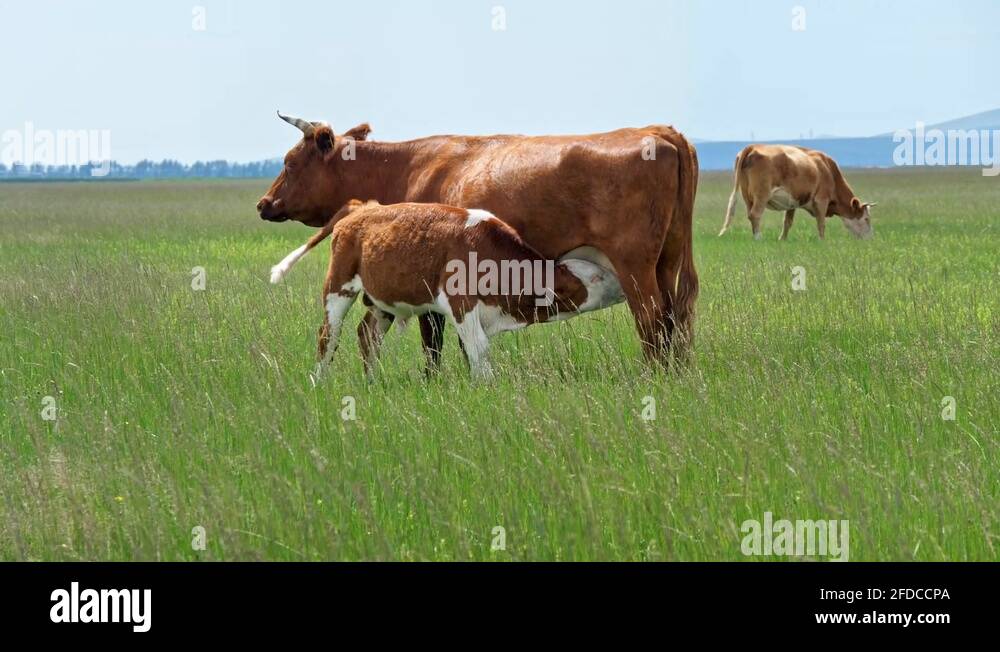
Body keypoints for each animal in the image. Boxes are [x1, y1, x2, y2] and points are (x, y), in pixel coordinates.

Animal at [297, 200, 624, 380]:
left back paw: (372, 383)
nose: (622, 285)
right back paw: (319, 381)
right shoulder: (461, 304)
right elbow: (479, 349)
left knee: (368, 336)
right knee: (328, 336)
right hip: (338, 287)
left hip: (381, 301)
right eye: (596, 277)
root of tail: (362, 208)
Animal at [717, 144, 875, 240]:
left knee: (750, 215)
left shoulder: (792, 203)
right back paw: (758, 238)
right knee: (755, 215)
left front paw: (782, 239)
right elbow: (821, 223)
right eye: (866, 219)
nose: (870, 239)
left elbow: (787, 222)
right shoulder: (821, 200)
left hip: (747, 197)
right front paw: (822, 240)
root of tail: (753, 146)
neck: (828, 170)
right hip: (762, 195)